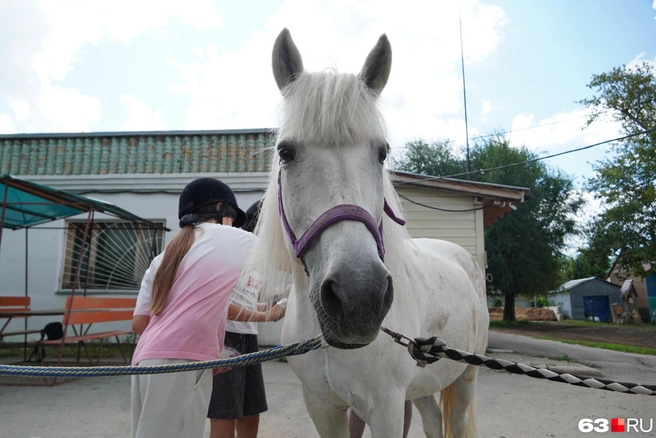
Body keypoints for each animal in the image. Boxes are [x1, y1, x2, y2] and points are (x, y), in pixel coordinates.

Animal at [242, 28, 489, 437]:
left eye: (382, 153)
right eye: (286, 152)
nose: (359, 295)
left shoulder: (385, 408)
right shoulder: (322, 406)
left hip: (466, 375)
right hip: (423, 386)